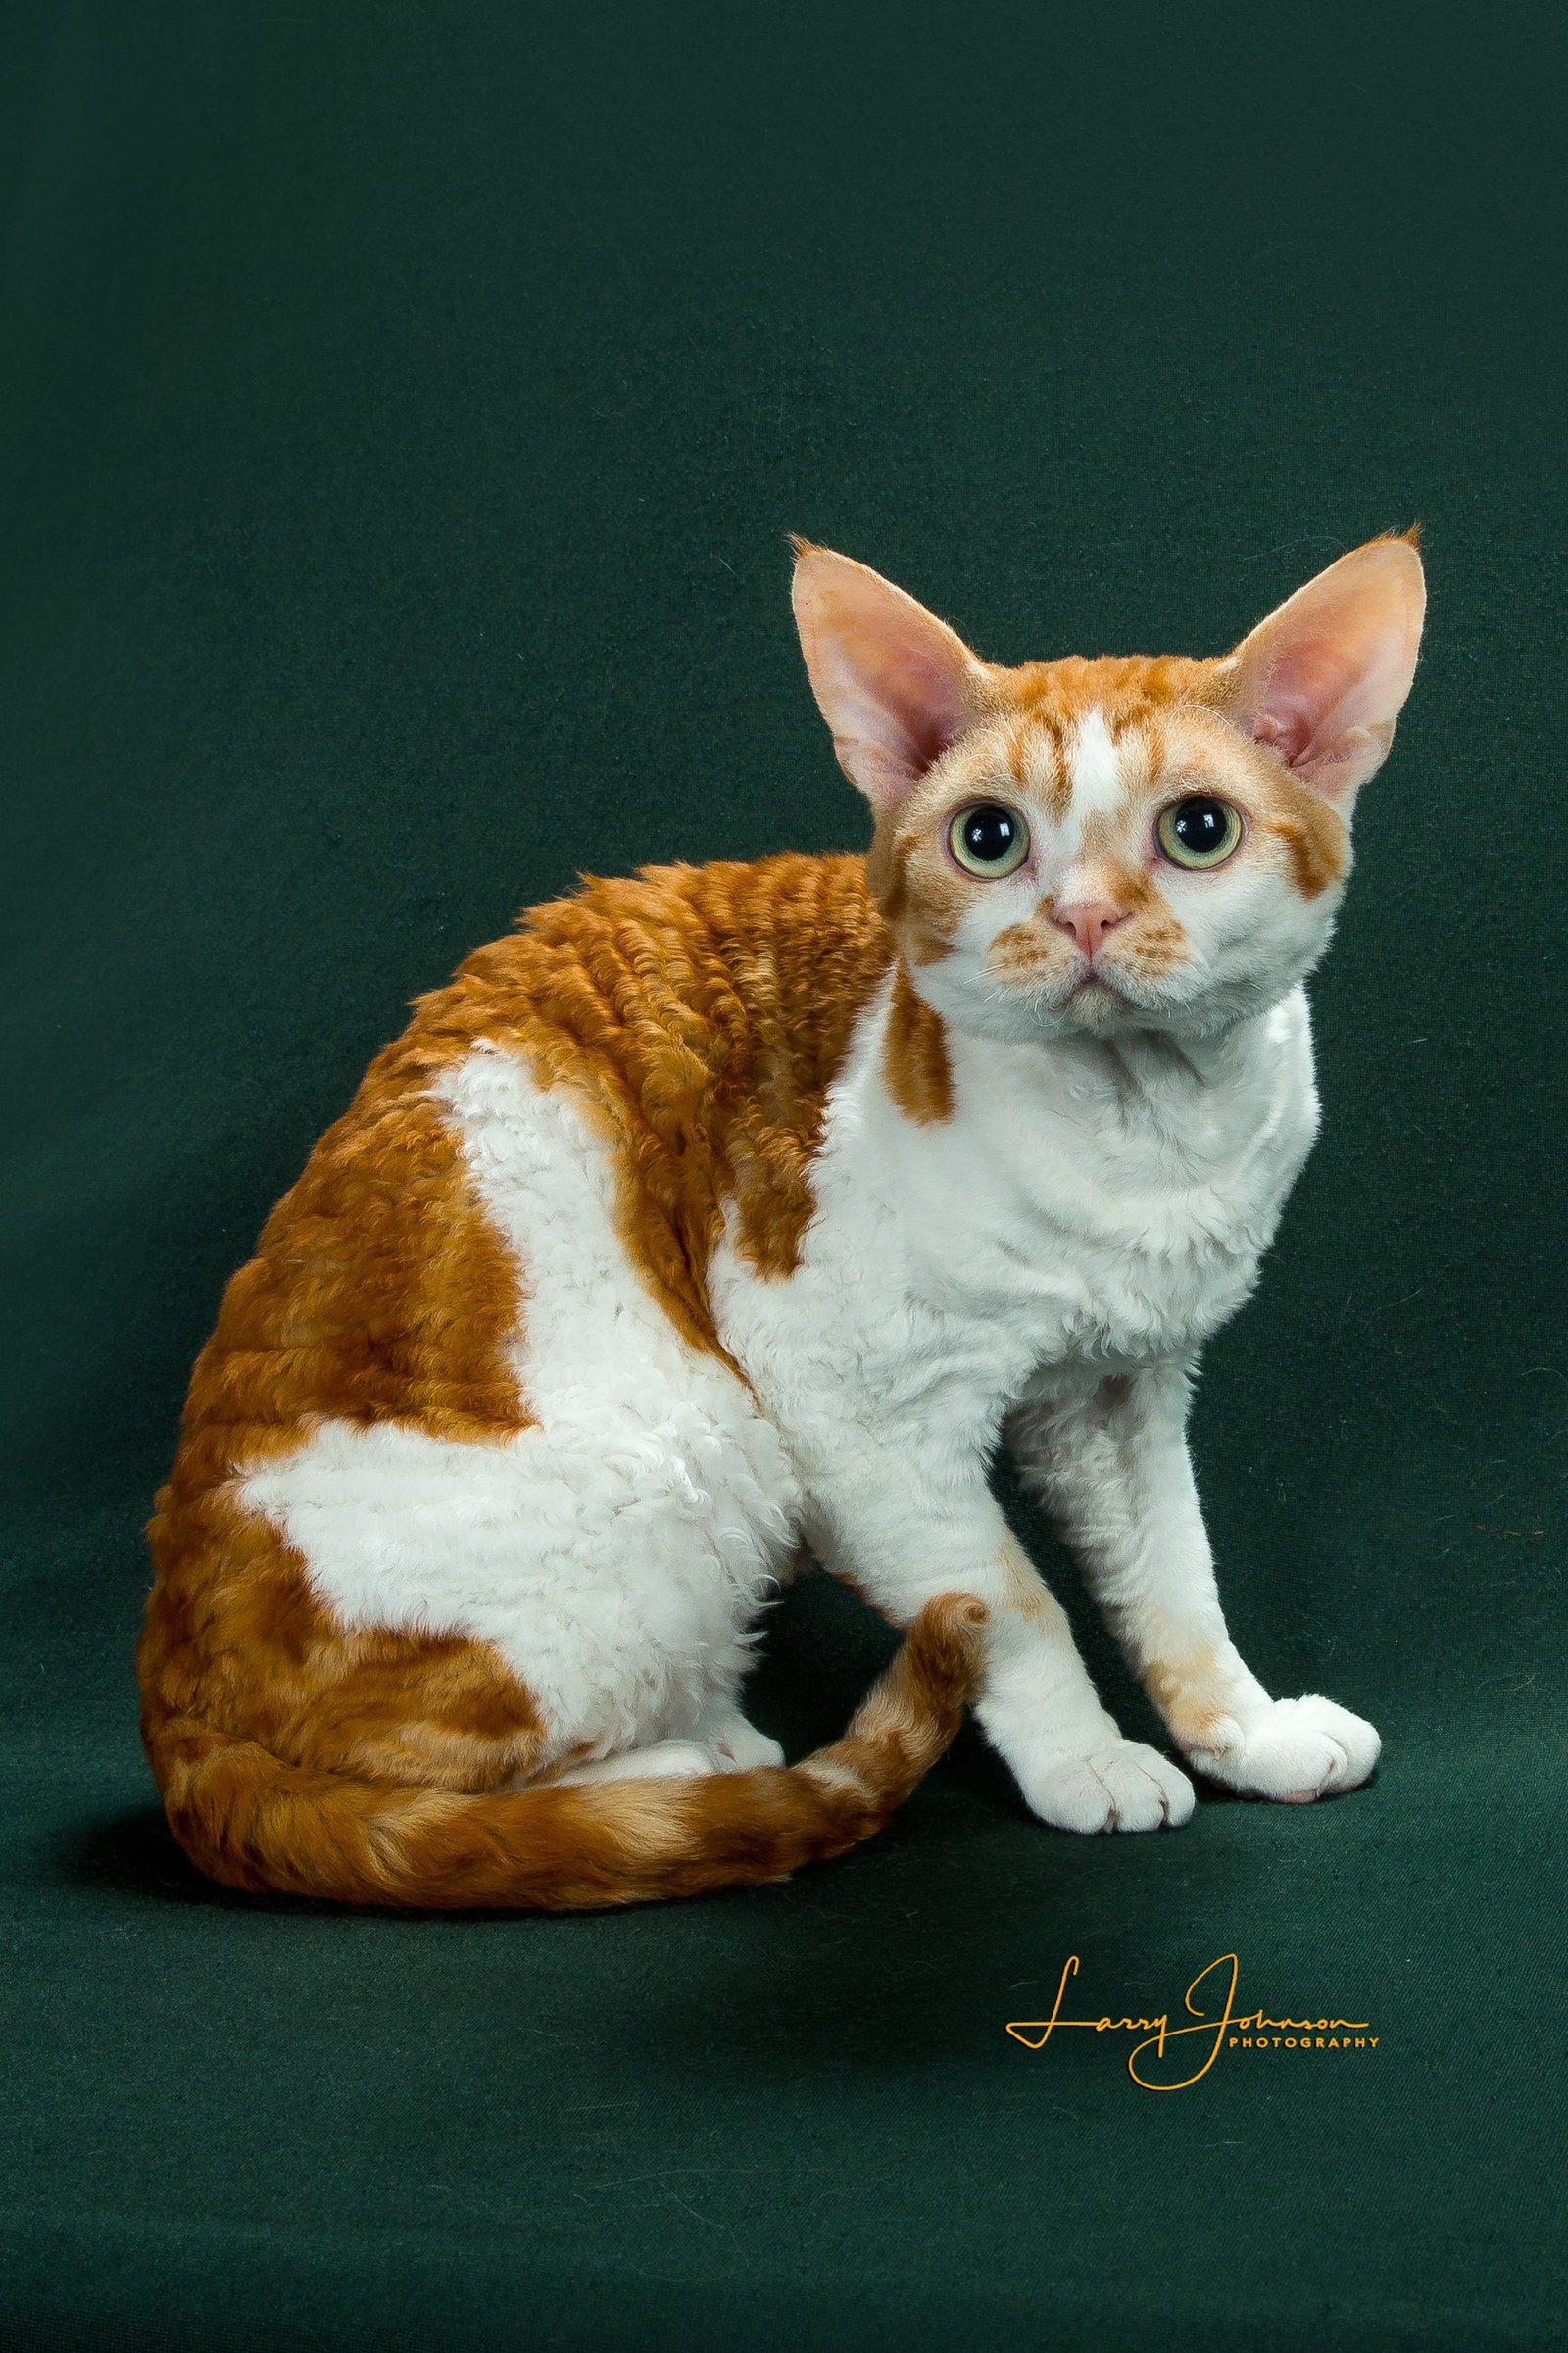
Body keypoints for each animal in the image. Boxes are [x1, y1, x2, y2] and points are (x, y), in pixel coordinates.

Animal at [139, 529, 1424, 1910]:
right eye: (987, 839)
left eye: (1197, 831)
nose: (1082, 915)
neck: (1145, 1141)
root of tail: (173, 1704)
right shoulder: (848, 1406)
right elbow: (1011, 1603)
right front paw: (1088, 1760)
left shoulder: (1117, 1390)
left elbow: (1174, 1574)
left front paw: (1245, 1731)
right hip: (700, 1438)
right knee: (432, 1791)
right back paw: (686, 1769)